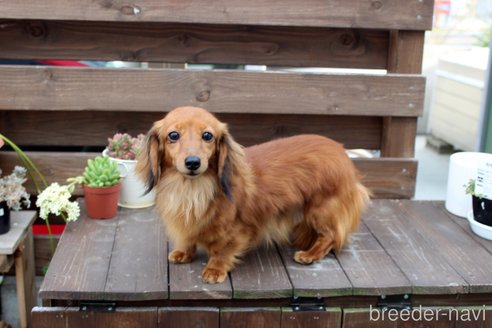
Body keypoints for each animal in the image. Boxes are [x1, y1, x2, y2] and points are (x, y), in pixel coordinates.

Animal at [135, 106, 368, 284]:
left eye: (207, 136)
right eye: (173, 135)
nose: (193, 162)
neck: (192, 189)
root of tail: (342, 151)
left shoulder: (235, 228)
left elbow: (222, 250)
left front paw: (215, 269)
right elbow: (188, 239)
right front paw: (184, 252)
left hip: (321, 208)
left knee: (332, 236)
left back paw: (311, 254)